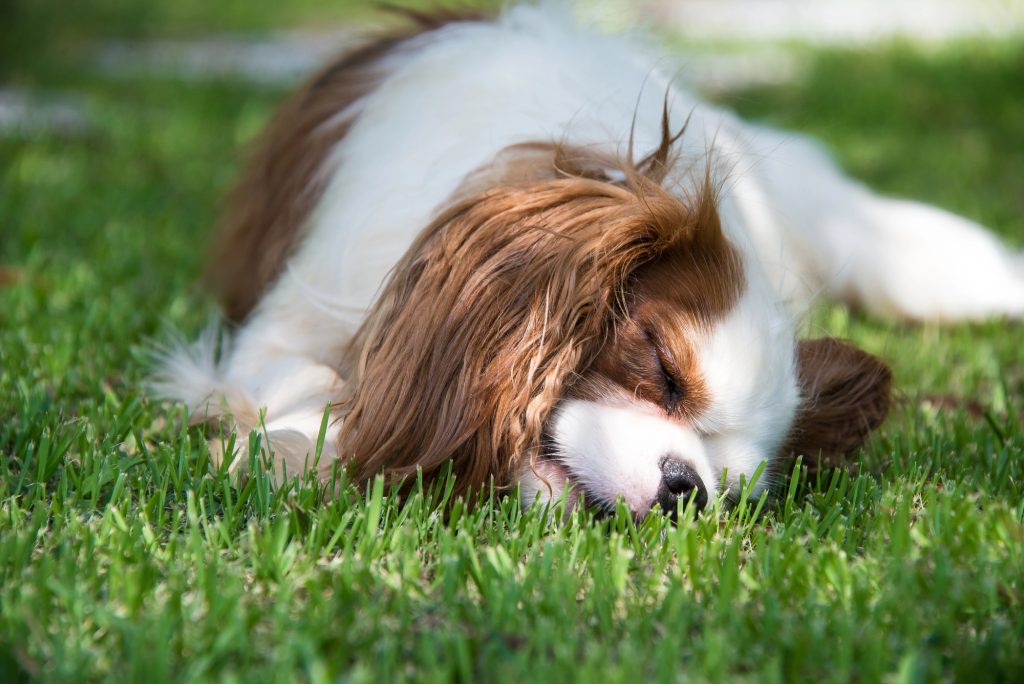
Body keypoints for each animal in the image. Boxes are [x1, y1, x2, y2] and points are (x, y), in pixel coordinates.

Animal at [151, 6, 1024, 518]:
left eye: (735, 485)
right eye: (663, 369)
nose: (685, 489)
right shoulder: (295, 313)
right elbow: (306, 381)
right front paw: (300, 443)